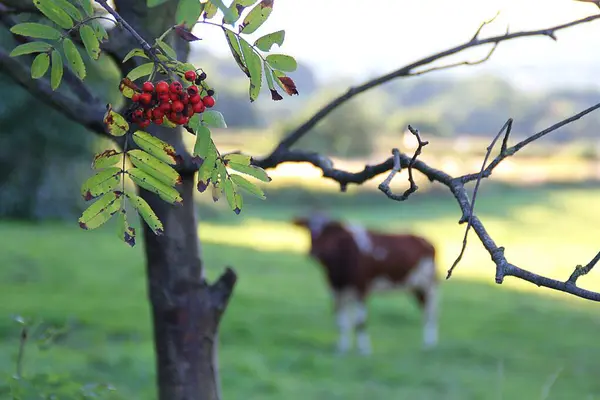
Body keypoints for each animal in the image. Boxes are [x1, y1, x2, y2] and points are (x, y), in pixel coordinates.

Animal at [292, 214, 438, 354]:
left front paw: (364, 350)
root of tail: (427, 242)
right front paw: (342, 349)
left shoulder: (361, 289)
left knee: (430, 313)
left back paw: (429, 345)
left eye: (328, 231)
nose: (313, 252)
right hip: (415, 287)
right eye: (308, 230)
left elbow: (360, 322)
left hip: (429, 286)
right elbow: (341, 322)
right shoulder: (337, 291)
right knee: (425, 311)